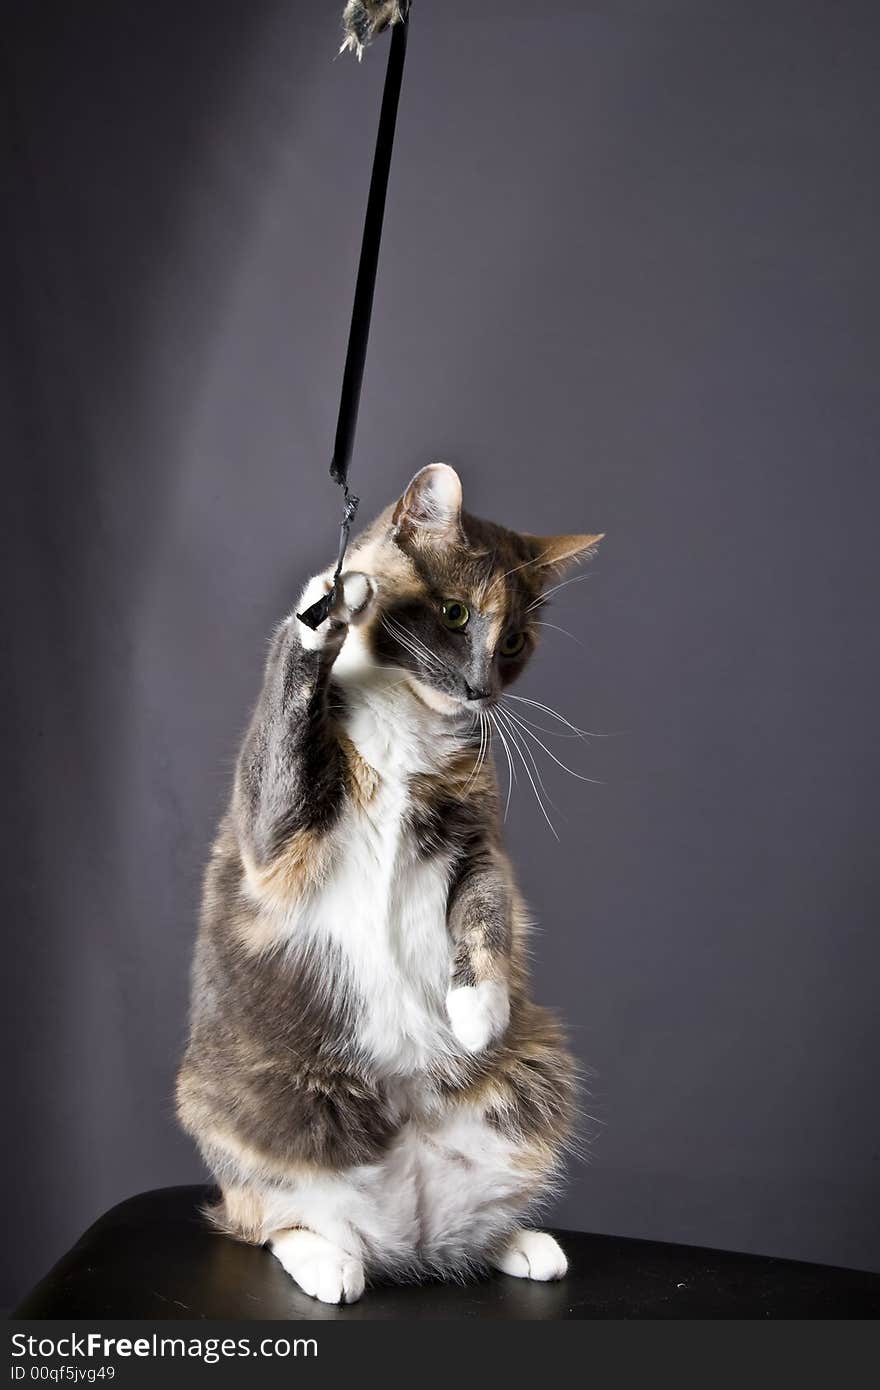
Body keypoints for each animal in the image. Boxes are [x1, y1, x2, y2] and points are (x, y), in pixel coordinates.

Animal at [177, 467, 603, 1301]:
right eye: (454, 612)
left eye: (515, 641)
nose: (479, 689)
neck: (406, 718)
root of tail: (409, 1242)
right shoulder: (271, 841)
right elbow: (284, 736)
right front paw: (325, 608)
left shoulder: (478, 839)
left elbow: (488, 908)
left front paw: (477, 1011)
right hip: (235, 1105)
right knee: (267, 1218)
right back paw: (329, 1260)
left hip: (540, 1069)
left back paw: (515, 1243)